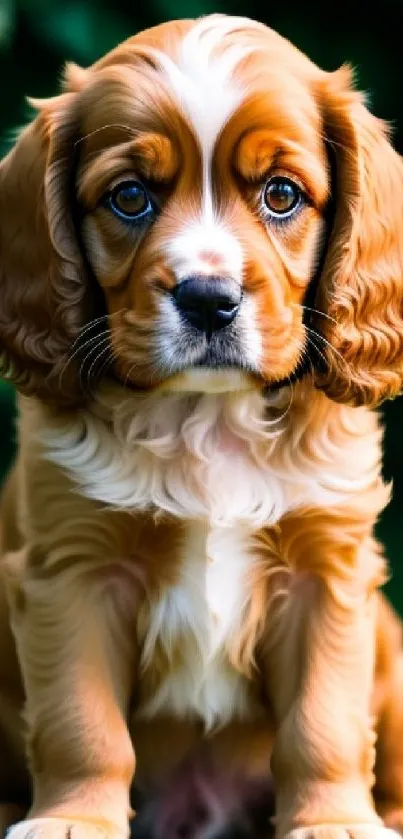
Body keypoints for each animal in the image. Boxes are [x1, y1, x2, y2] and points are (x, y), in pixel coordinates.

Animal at [0, 11, 403, 839]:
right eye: (128, 197)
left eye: (281, 195)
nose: (209, 299)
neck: (206, 414)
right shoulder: (74, 571)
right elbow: (80, 721)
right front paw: (74, 818)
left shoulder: (326, 574)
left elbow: (323, 722)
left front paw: (332, 820)